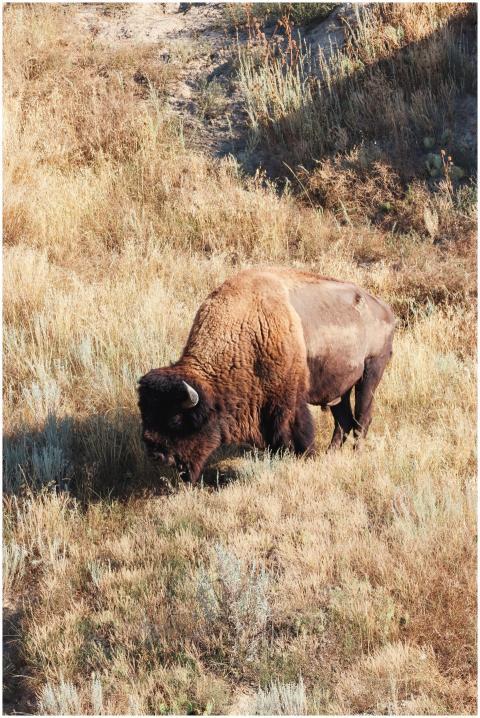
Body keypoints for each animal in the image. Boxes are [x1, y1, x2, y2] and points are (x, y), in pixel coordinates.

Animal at [138, 267, 395, 484]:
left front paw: (305, 458)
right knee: (343, 421)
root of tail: (385, 309)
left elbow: (298, 432)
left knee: (362, 418)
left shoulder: (288, 402)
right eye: (147, 414)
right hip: (339, 390)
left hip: (370, 373)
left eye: (177, 419)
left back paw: (356, 454)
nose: (156, 454)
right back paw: (330, 455)